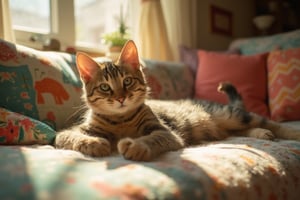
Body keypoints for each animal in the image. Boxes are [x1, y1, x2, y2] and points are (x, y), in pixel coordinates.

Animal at [55, 39, 300, 162]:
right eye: (105, 87)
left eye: (127, 81)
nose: (121, 98)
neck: (121, 119)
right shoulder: (75, 130)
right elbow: (66, 136)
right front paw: (94, 143)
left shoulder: (165, 132)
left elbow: (152, 138)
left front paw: (136, 146)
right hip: (227, 123)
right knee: (239, 130)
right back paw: (261, 134)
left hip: (230, 114)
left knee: (265, 121)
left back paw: (287, 132)